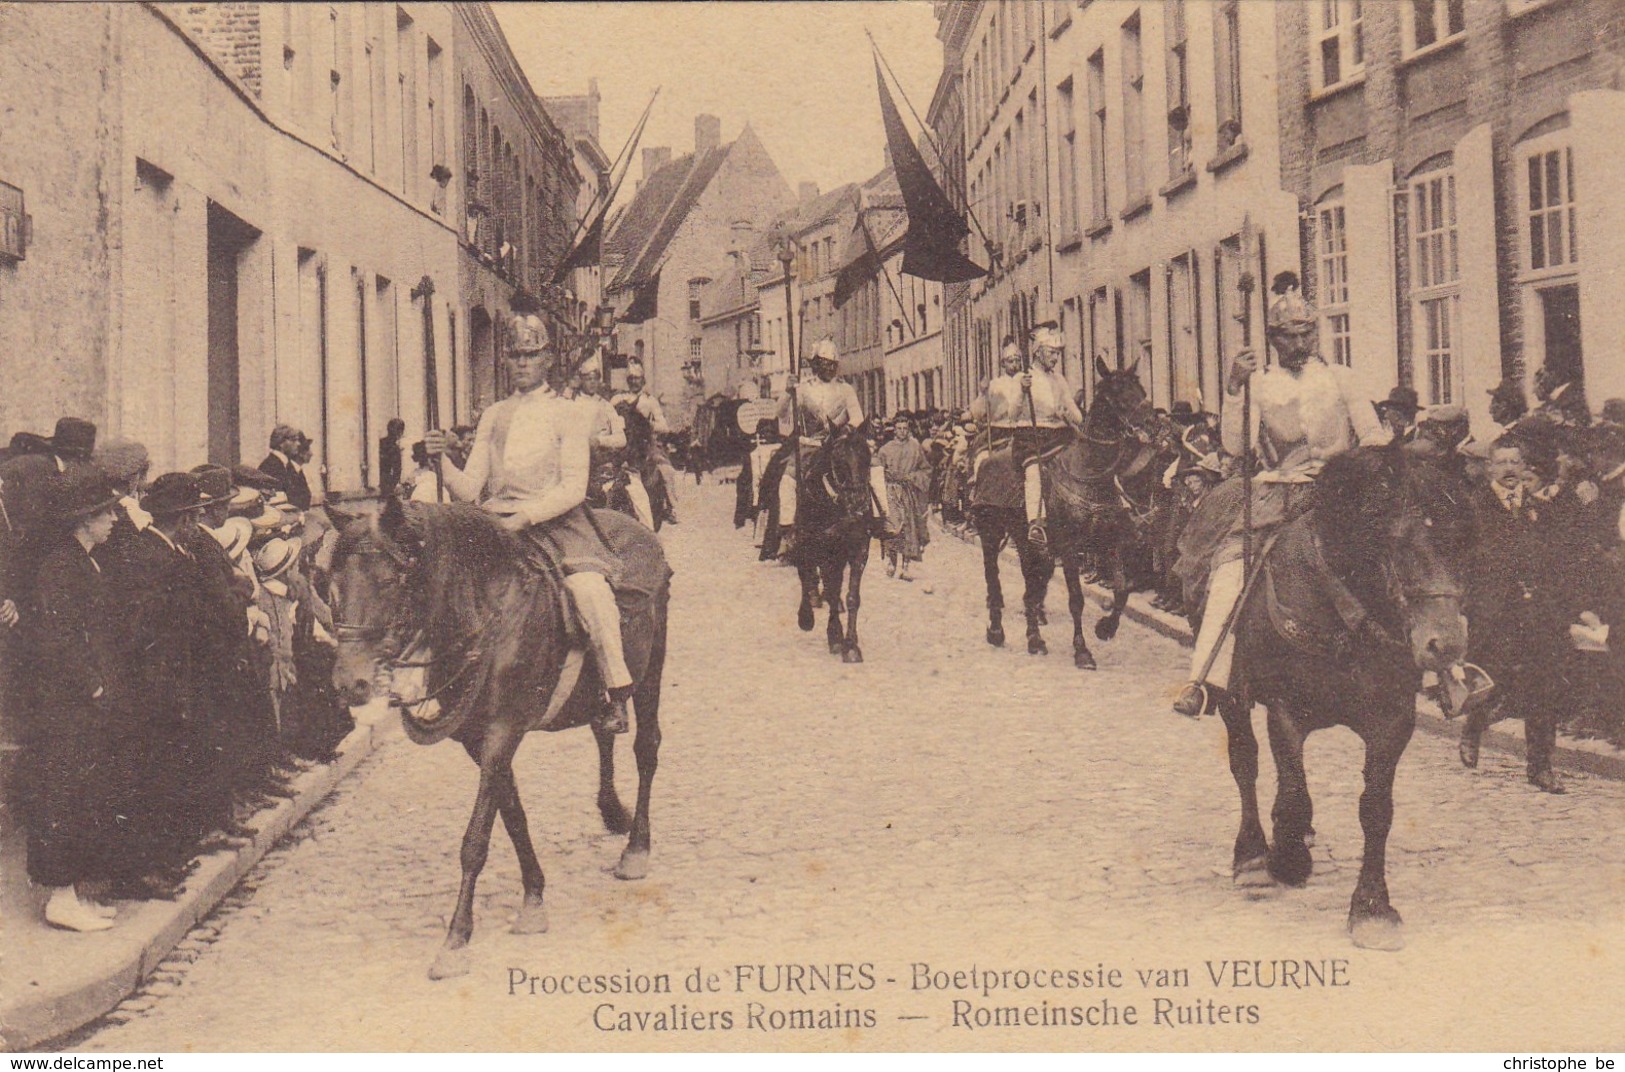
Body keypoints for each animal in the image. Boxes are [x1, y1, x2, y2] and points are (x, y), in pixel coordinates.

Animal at [326, 497, 669, 974]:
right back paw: (611, 808)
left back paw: (636, 848)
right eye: (333, 585)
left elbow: (476, 839)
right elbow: (513, 816)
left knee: (646, 748)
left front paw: (456, 938)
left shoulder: (502, 733)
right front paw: (534, 897)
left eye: (391, 580)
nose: (350, 683)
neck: (488, 612)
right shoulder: (479, 742)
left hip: (652, 665)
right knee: (603, 732)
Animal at [789, 425, 871, 662]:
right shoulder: (824, 548)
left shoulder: (858, 549)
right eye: (839, 458)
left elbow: (852, 596)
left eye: (867, 456)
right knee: (806, 573)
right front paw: (835, 636)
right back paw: (807, 614)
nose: (859, 502)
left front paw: (851, 645)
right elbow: (829, 588)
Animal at [1222, 448, 1475, 948]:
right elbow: (1294, 794)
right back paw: (1253, 856)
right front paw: (1287, 857)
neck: (1342, 609)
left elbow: (1376, 810)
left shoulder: (1393, 721)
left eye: (1461, 540)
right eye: (1399, 542)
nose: (1446, 645)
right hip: (1230, 694)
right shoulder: (1285, 710)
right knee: (1245, 762)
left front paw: (1372, 906)